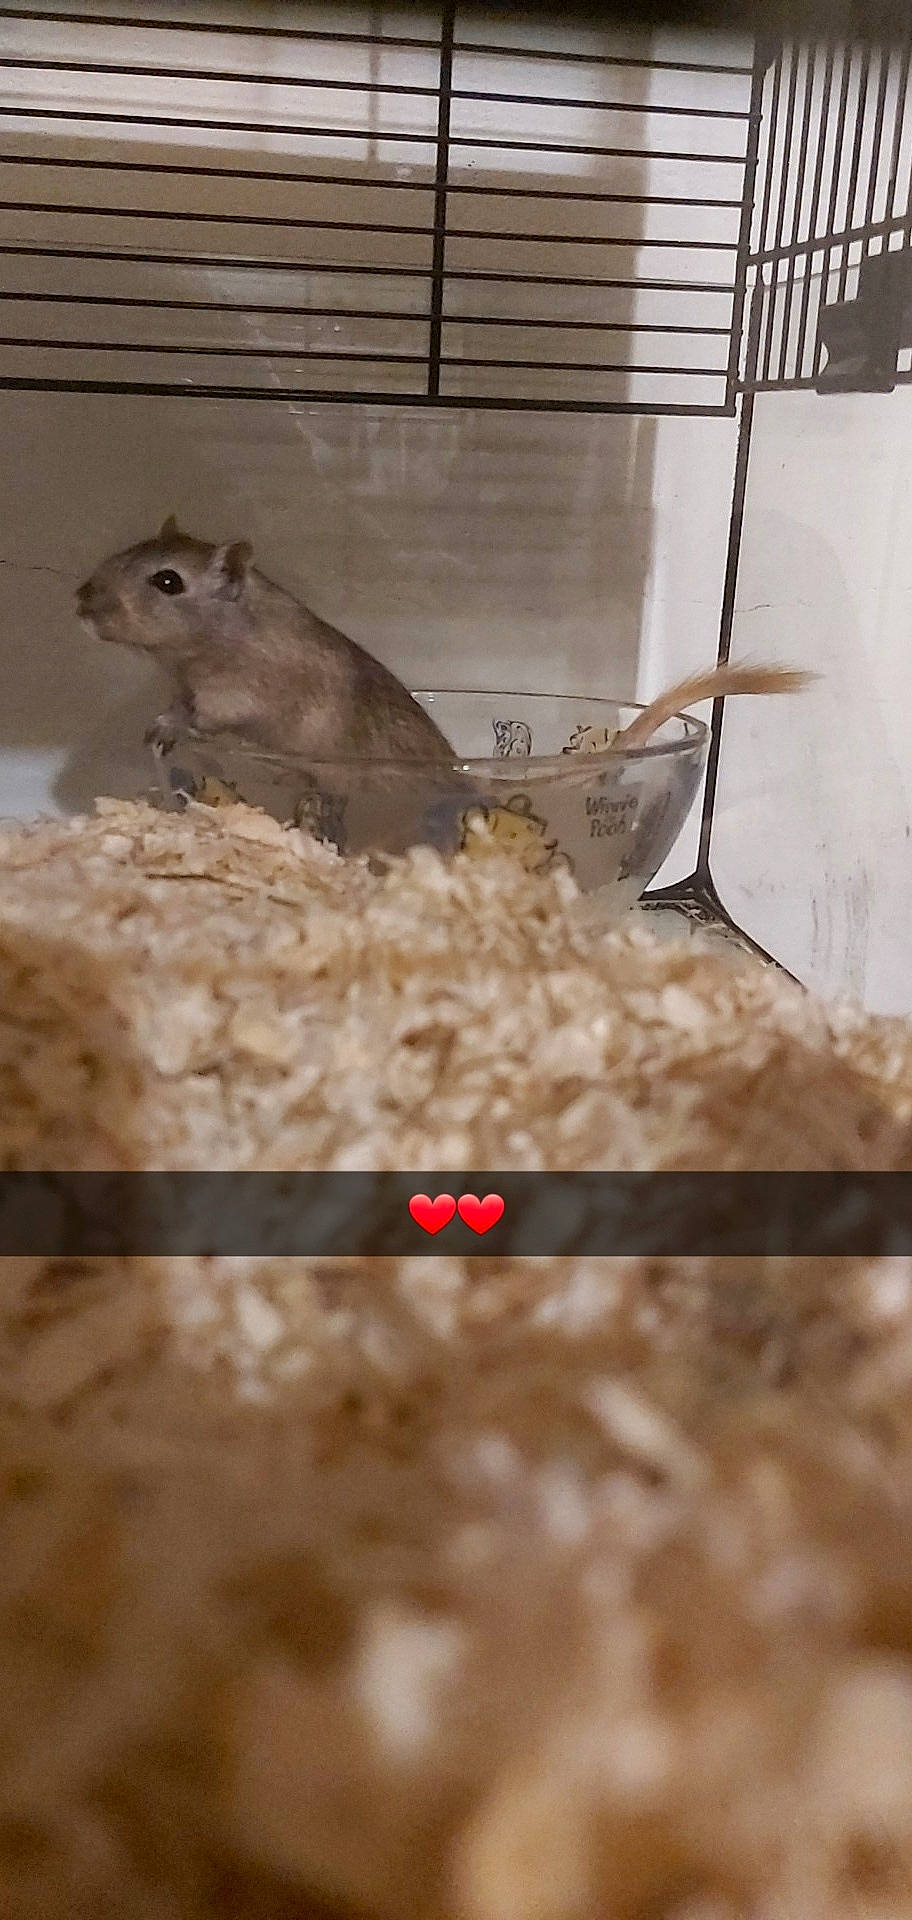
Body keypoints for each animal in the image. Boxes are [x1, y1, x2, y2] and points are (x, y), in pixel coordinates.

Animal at [76, 517, 457, 762]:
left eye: (168, 581)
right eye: (129, 549)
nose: (80, 603)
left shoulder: (233, 696)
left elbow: (201, 719)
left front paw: (168, 731)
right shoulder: (185, 686)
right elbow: (178, 706)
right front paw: (158, 727)